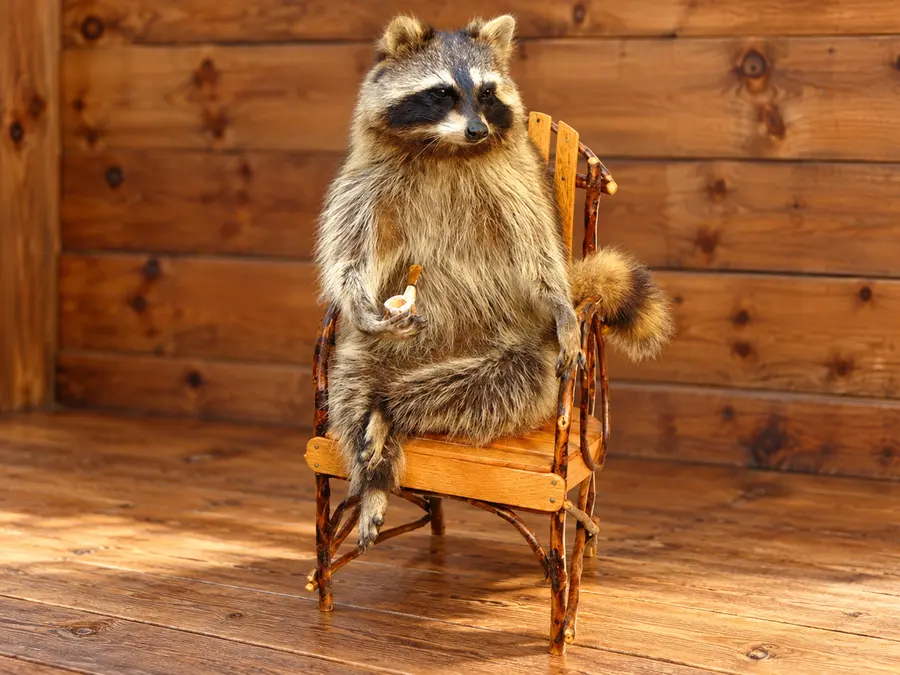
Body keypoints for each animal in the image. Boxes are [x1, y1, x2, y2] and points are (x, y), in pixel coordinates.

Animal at [316, 14, 673, 551]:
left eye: (486, 93)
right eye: (441, 93)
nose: (477, 129)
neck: (446, 148)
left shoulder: (515, 177)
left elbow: (537, 247)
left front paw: (561, 305)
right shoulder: (369, 175)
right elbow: (350, 244)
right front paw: (357, 301)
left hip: (519, 350)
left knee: (500, 382)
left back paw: (391, 410)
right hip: (382, 347)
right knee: (353, 380)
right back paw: (374, 467)